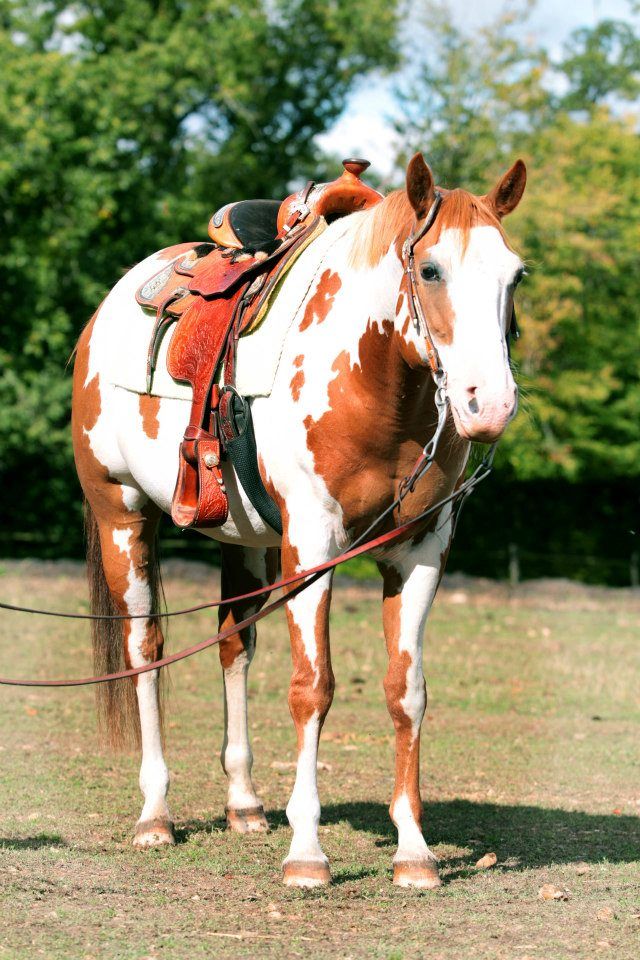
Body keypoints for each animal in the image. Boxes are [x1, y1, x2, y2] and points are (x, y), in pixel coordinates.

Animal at [72, 150, 528, 884]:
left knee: (233, 645)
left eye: (515, 275)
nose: (489, 404)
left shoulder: (422, 550)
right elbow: (313, 687)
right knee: (145, 650)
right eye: (430, 270)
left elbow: (407, 689)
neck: (374, 381)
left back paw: (245, 803)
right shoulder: (312, 548)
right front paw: (307, 852)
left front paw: (414, 851)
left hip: (241, 538)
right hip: (122, 513)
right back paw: (155, 814)